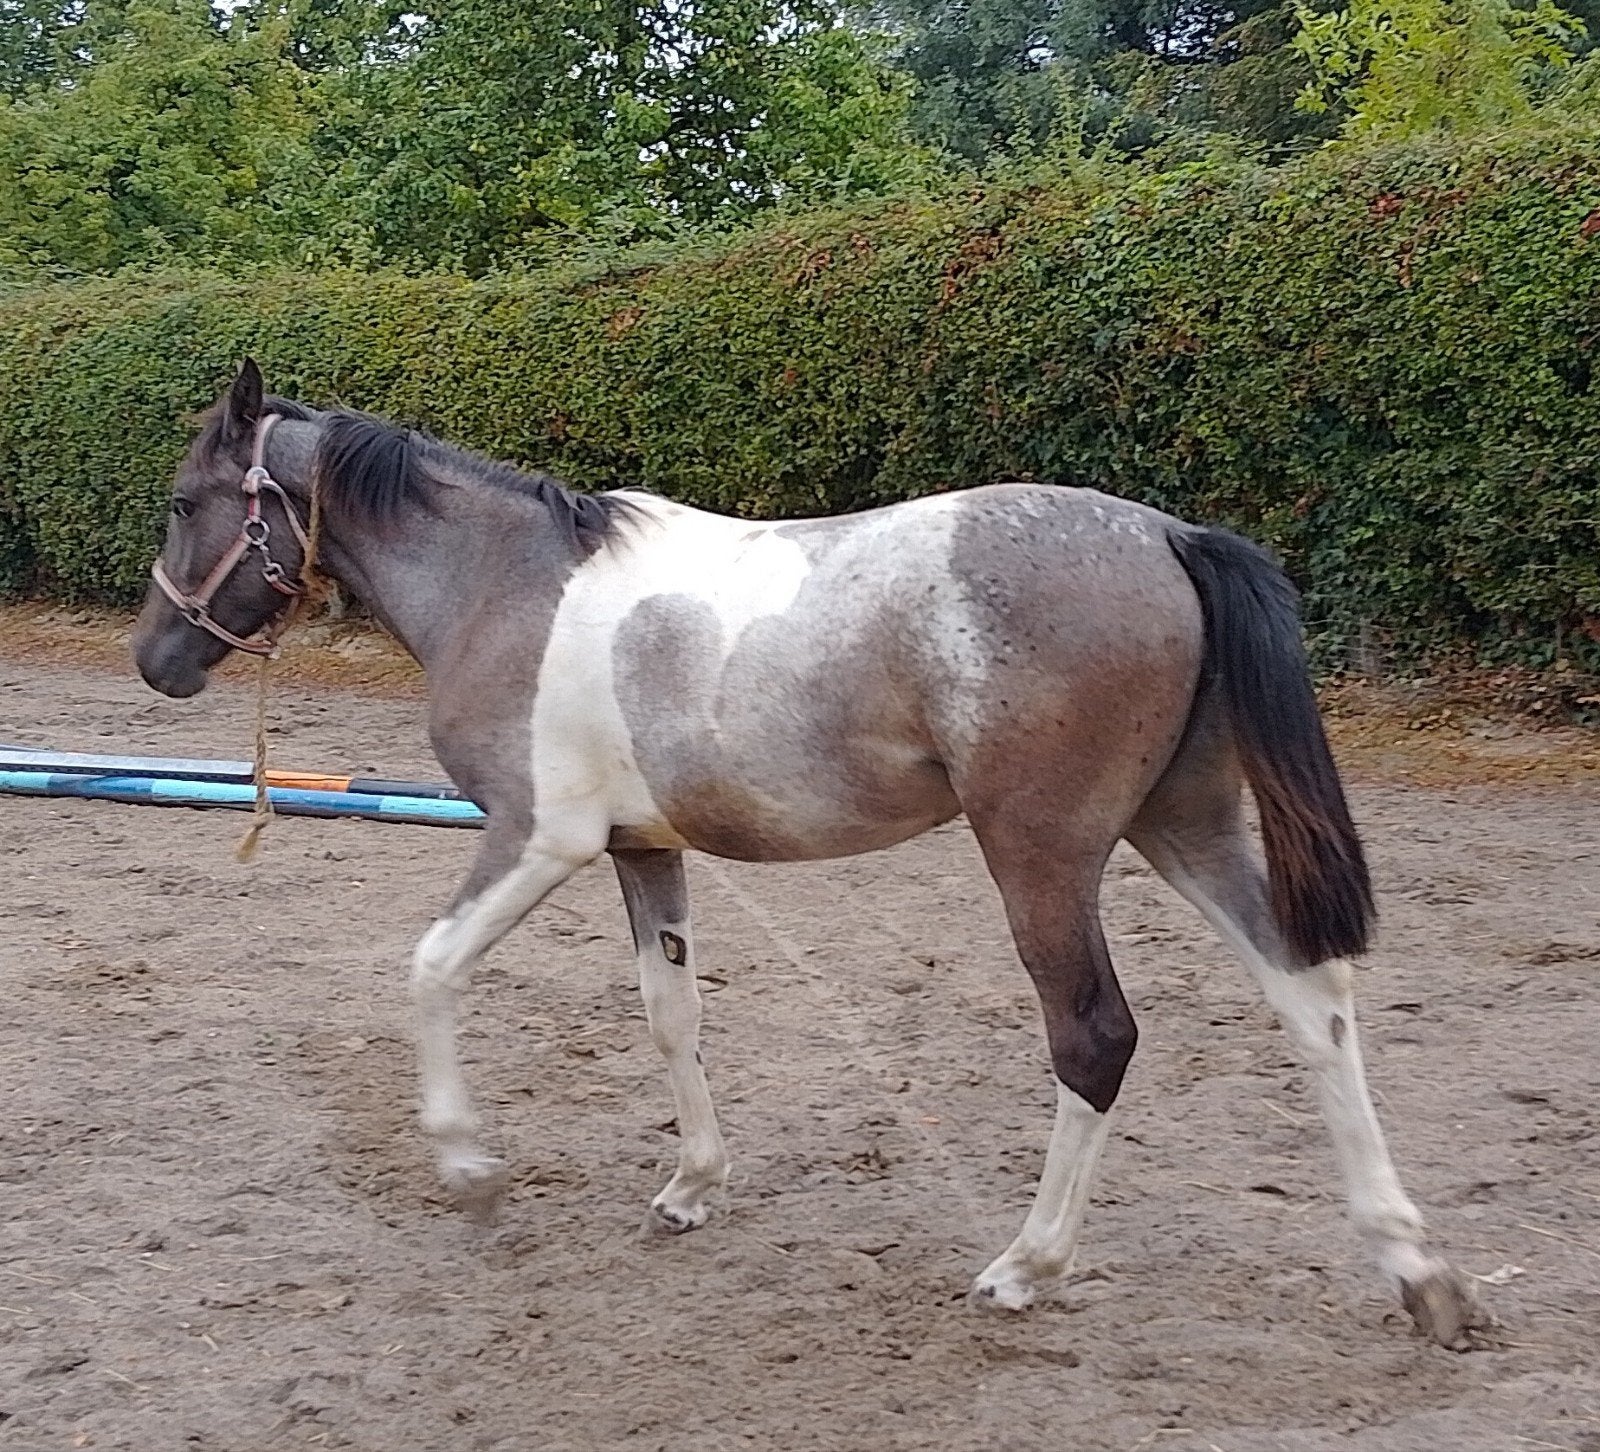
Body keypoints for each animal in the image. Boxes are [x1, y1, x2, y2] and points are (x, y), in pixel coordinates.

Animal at [132, 360, 1479, 1346]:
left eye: (186, 501)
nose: (156, 657)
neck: (510, 589)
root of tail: (1168, 538)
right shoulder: (640, 853)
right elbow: (669, 1015)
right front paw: (693, 1186)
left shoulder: (534, 840)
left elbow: (428, 968)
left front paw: (468, 1167)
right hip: (1184, 827)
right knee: (1313, 999)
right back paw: (1416, 1270)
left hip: (1044, 857)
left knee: (1095, 1038)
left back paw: (1027, 1265)